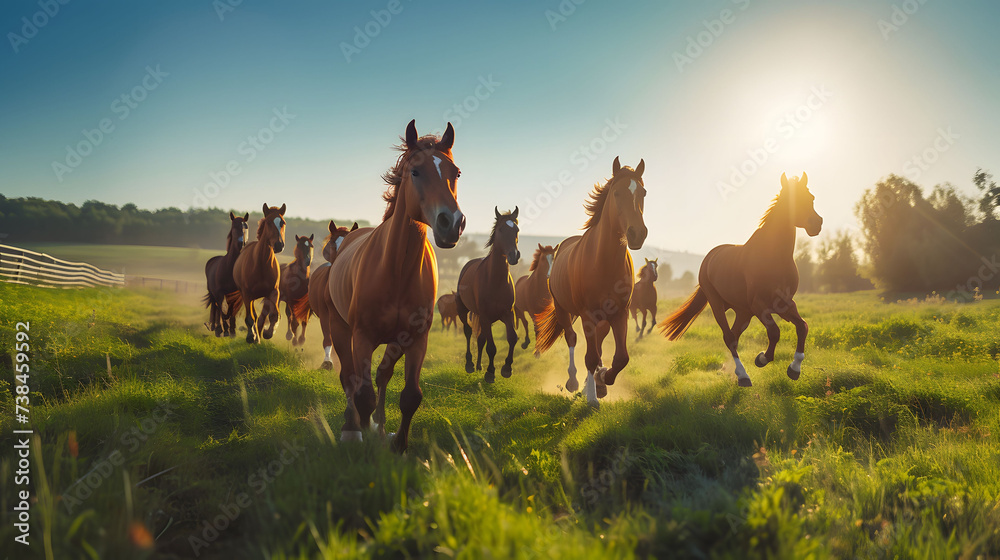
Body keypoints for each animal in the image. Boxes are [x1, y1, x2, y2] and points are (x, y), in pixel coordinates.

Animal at [233, 203, 286, 344]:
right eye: (268, 222)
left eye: (282, 223)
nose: (279, 245)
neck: (262, 264)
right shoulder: (247, 294)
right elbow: (250, 317)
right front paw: (251, 336)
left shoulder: (274, 292)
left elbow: (274, 315)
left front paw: (268, 332)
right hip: (247, 296)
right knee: (253, 316)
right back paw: (254, 337)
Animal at [326, 119, 465, 452]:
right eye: (415, 171)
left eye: (456, 173)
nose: (451, 223)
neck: (396, 270)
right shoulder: (362, 337)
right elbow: (361, 392)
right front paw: (362, 438)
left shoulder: (415, 339)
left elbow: (410, 396)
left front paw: (397, 445)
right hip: (340, 328)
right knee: (349, 377)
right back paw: (352, 428)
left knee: (382, 375)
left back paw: (379, 426)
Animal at [456, 207, 521, 382]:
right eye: (501, 229)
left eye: (517, 230)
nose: (514, 255)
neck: (495, 280)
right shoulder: (485, 316)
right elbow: (491, 347)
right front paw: (490, 372)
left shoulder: (507, 314)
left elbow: (512, 338)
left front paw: (507, 368)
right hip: (463, 310)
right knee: (468, 332)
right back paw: (470, 364)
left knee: (480, 339)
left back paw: (479, 366)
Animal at [534, 157, 648, 408]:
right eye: (616, 192)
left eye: (643, 192)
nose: (637, 234)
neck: (604, 262)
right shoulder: (587, 314)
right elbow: (591, 355)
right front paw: (592, 396)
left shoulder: (620, 313)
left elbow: (621, 357)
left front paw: (603, 379)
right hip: (563, 309)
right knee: (573, 339)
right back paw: (574, 382)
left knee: (598, 341)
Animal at [659, 172, 822, 387]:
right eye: (791, 200)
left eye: (811, 198)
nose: (816, 223)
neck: (775, 257)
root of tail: (710, 257)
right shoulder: (759, 305)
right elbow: (774, 332)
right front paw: (762, 359)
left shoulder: (785, 303)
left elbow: (802, 326)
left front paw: (794, 369)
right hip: (718, 304)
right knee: (729, 337)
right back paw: (743, 376)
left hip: (743, 312)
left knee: (734, 336)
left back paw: (735, 373)